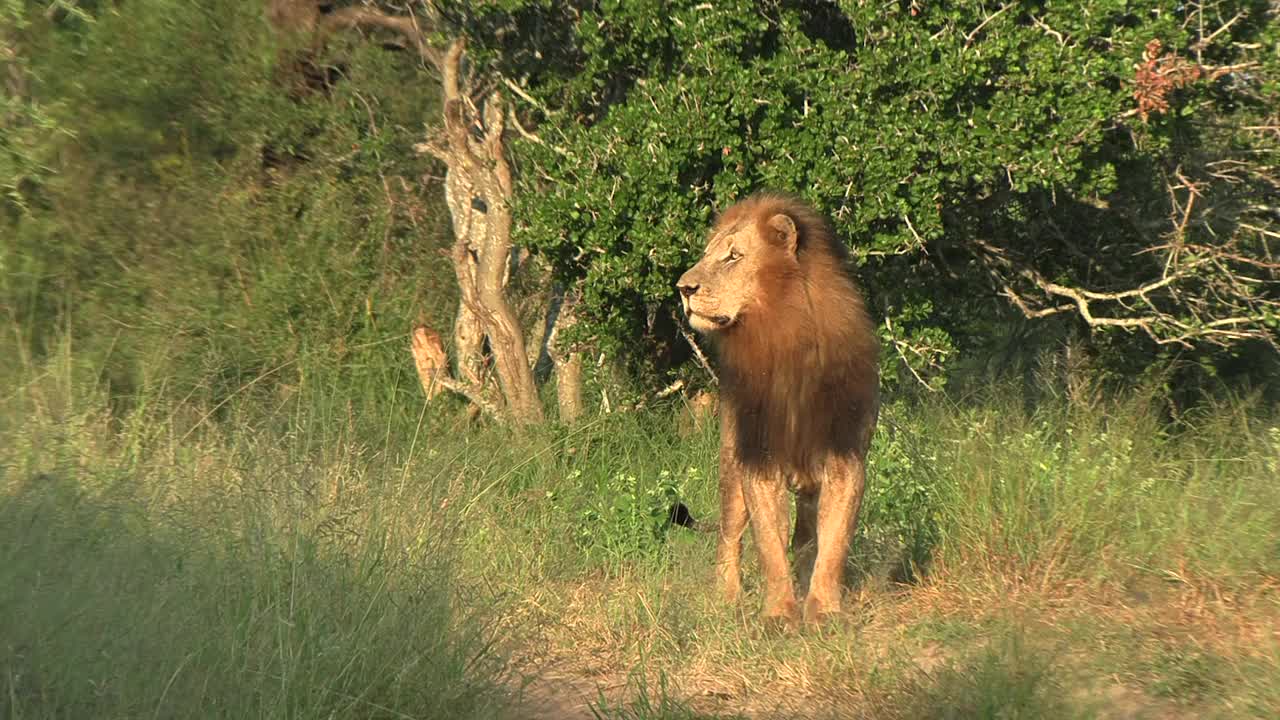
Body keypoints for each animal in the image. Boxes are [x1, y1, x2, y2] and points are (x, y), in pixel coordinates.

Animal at [675, 192, 875, 622]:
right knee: (730, 535)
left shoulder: (845, 454)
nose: (683, 288)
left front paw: (823, 610)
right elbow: (768, 543)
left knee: (806, 536)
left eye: (733, 257)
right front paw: (780, 614)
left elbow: (833, 542)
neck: (785, 338)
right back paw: (727, 598)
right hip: (730, 465)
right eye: (707, 254)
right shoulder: (759, 457)